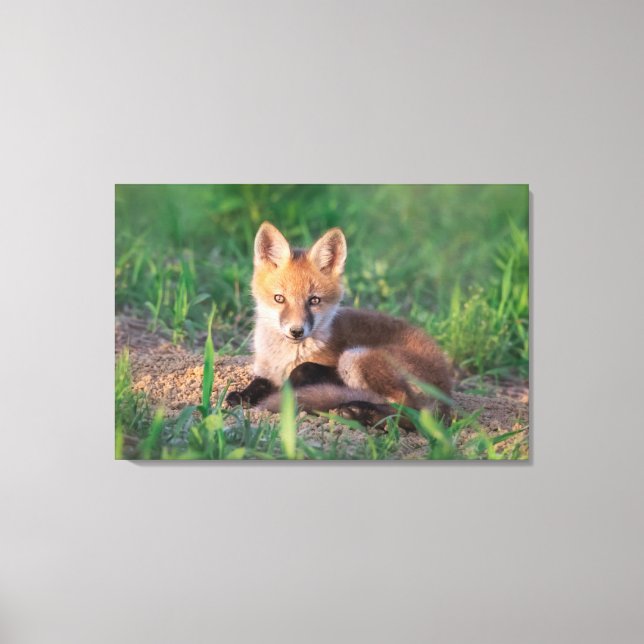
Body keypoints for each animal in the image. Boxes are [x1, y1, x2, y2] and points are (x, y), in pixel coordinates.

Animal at [226, 222, 452, 426]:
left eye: (314, 300)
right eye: (279, 299)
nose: (296, 331)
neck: (284, 358)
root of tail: (447, 391)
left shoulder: (330, 367)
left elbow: (303, 369)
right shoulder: (265, 371)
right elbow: (258, 383)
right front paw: (243, 395)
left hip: (355, 357)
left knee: (412, 413)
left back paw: (363, 412)